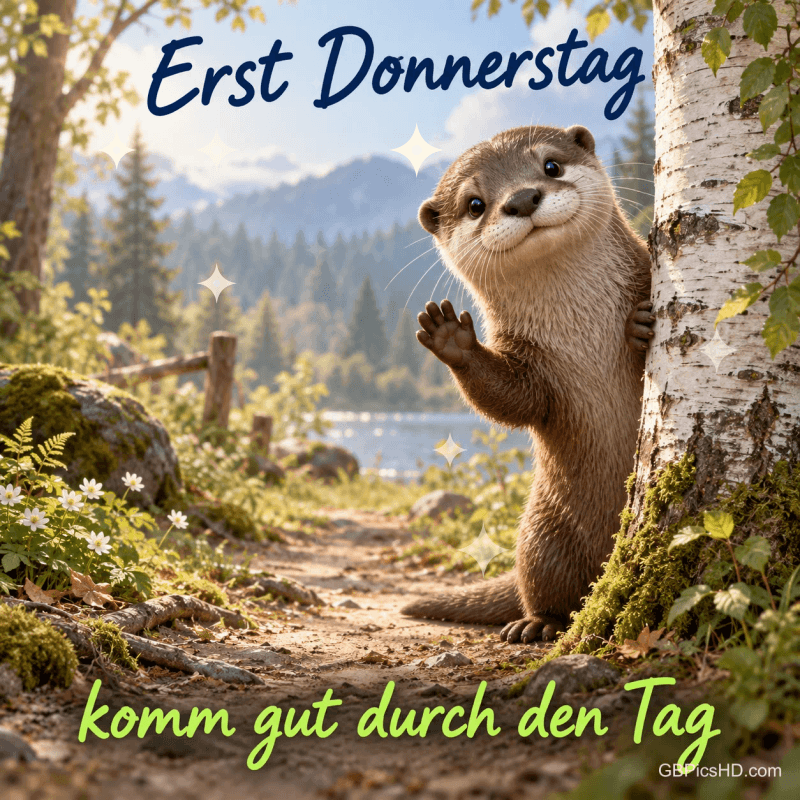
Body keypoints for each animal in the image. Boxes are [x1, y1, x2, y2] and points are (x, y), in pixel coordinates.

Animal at [401, 125, 654, 643]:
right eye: (475, 203)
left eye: (551, 165)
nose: (521, 198)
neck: (580, 327)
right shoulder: (533, 366)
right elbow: (513, 403)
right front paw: (453, 339)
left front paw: (640, 324)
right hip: (543, 533)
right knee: (547, 586)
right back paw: (537, 623)